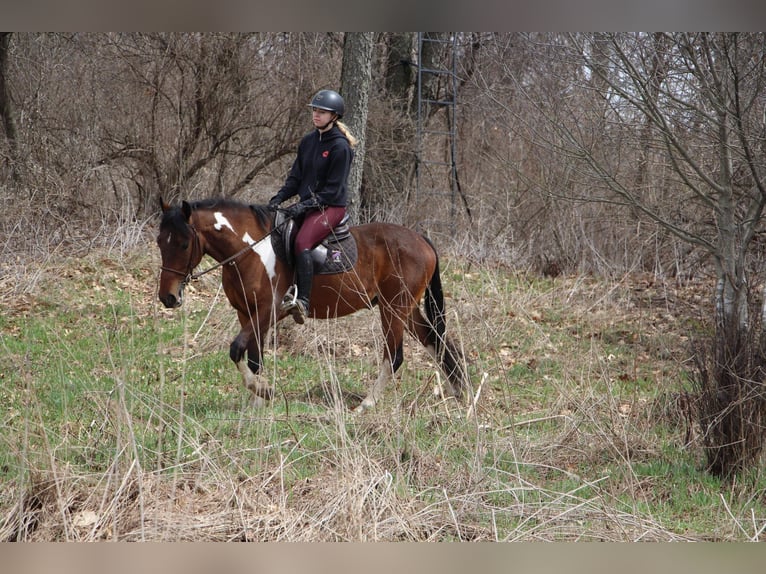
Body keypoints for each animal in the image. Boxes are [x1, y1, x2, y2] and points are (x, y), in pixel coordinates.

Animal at [156, 199, 468, 414]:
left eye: (184, 244)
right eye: (160, 241)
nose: (167, 297)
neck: (251, 252)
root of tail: (421, 239)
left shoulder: (269, 311)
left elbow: (236, 350)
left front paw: (262, 392)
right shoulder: (246, 313)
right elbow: (254, 358)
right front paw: (258, 401)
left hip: (393, 309)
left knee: (394, 356)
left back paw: (366, 404)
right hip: (405, 309)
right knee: (435, 340)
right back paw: (458, 392)